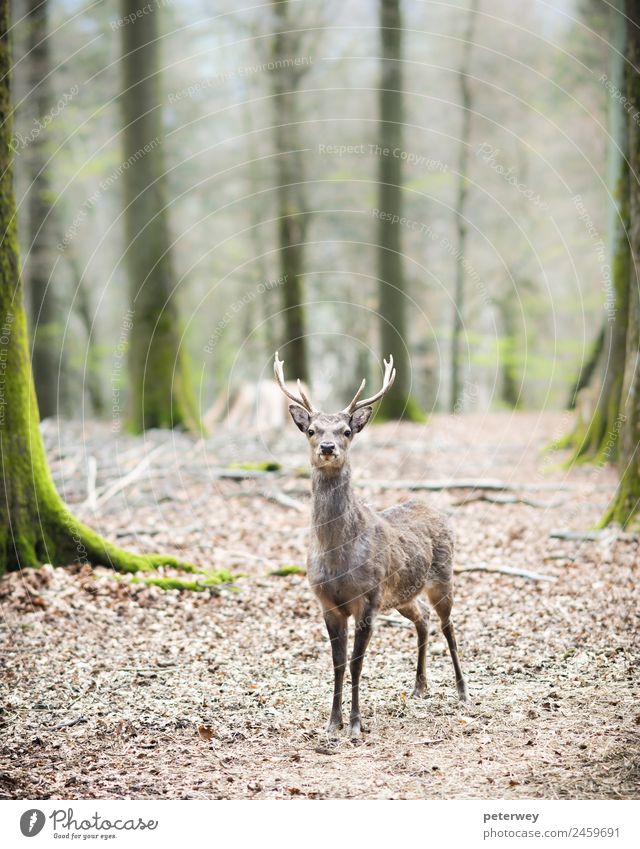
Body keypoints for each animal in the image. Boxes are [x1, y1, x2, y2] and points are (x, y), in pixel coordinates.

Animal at [272, 348, 468, 740]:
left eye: (346, 430)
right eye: (312, 430)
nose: (328, 447)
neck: (337, 556)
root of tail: (438, 510)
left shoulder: (367, 597)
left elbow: (356, 665)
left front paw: (355, 724)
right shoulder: (328, 603)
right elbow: (337, 664)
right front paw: (331, 723)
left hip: (442, 577)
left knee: (449, 626)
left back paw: (461, 690)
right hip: (402, 595)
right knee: (422, 618)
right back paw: (419, 686)